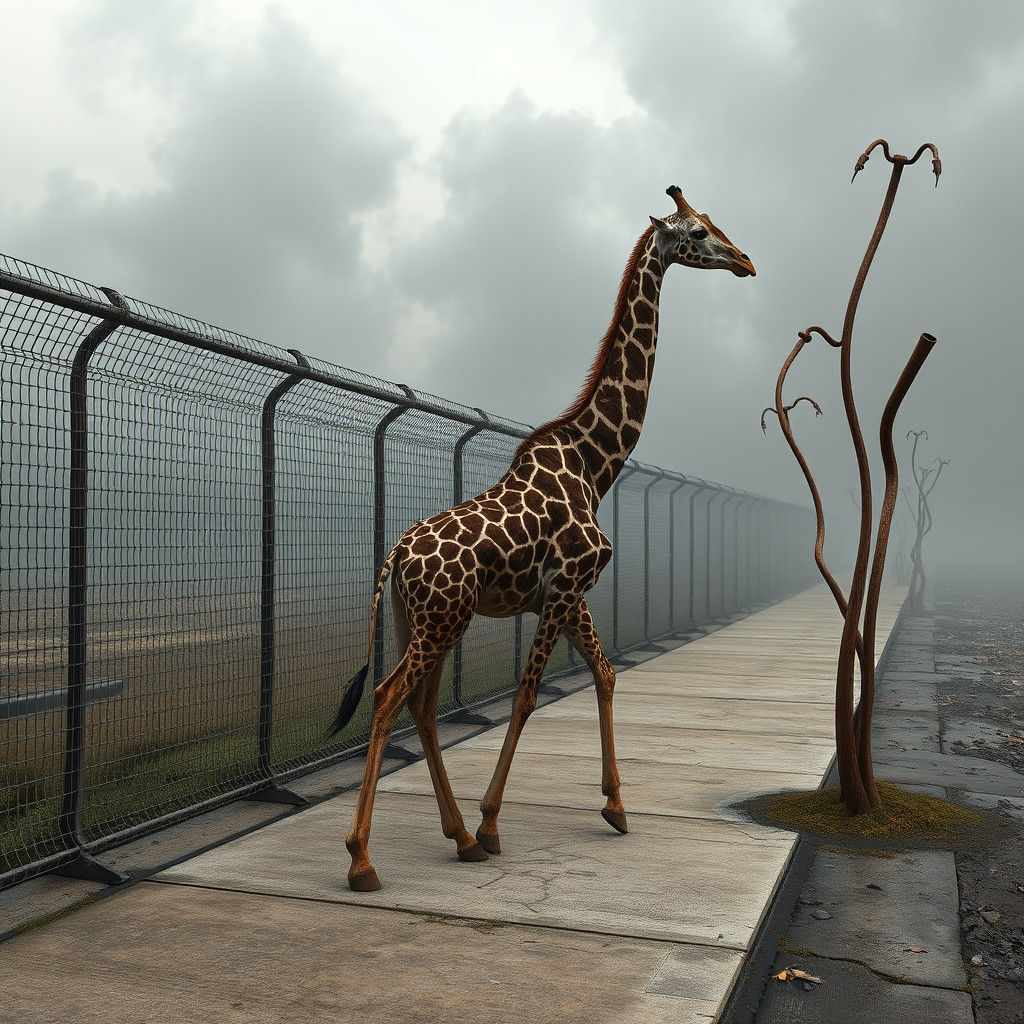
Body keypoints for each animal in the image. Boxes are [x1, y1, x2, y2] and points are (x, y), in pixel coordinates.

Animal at [331, 186, 756, 891]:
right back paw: (366, 859)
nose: (746, 261)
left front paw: (615, 806)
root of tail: (395, 557)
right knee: (391, 698)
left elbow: (605, 674)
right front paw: (494, 822)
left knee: (420, 705)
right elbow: (528, 695)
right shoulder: (565, 586)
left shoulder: (569, 592)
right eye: (698, 232)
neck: (595, 464)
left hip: (424, 619)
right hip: (441, 618)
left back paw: (457, 839)